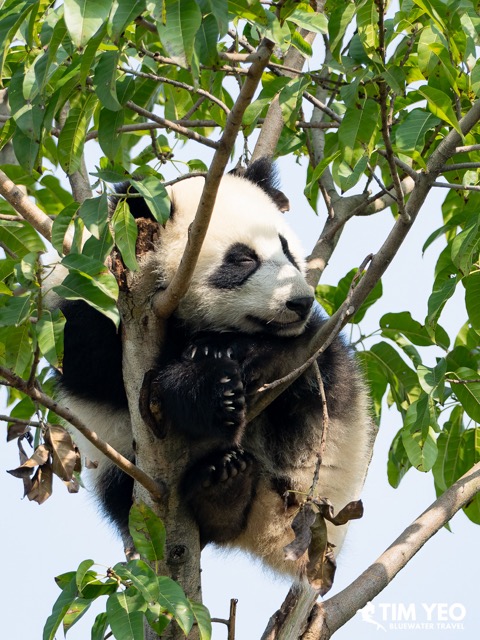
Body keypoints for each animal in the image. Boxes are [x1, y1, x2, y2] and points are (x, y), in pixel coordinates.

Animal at [53, 158, 372, 579]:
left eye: (287, 249)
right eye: (242, 258)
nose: (300, 302)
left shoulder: (308, 332)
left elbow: (294, 347)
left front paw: (220, 353)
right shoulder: (93, 302)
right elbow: (98, 371)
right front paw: (207, 389)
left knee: (319, 381)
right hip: (114, 457)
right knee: (121, 490)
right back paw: (222, 488)